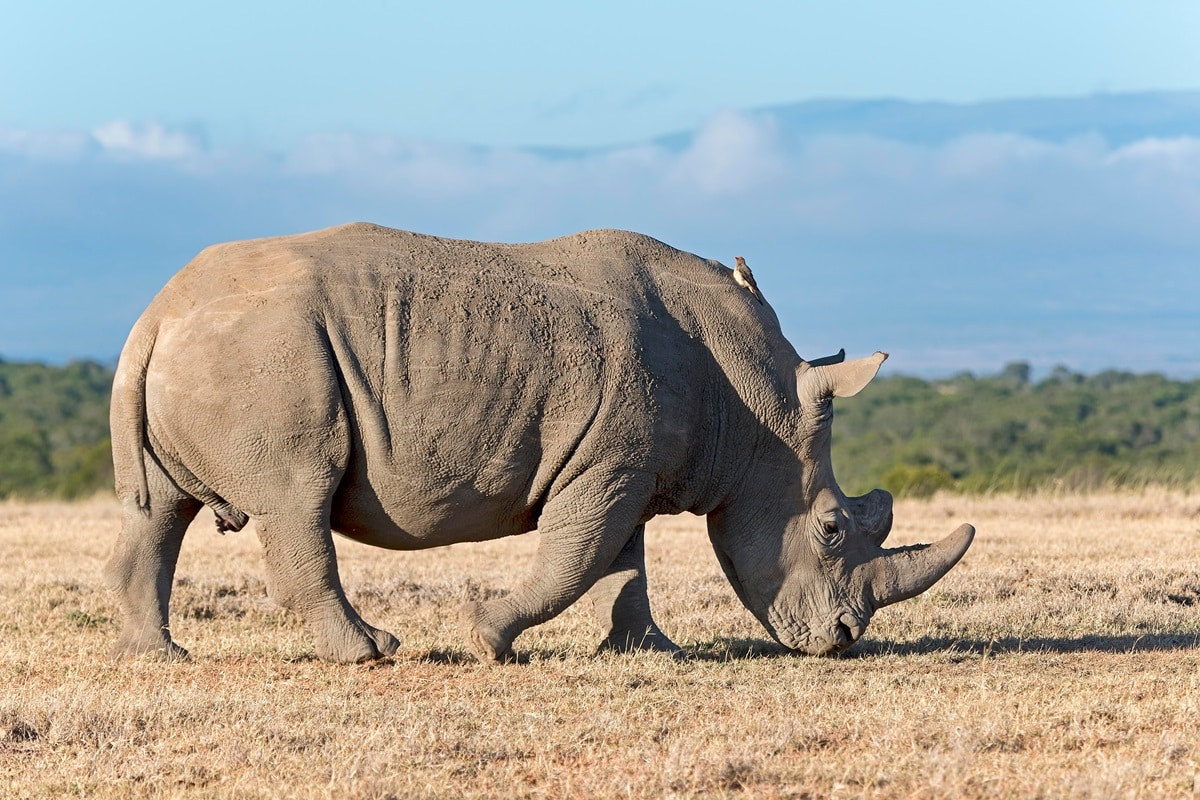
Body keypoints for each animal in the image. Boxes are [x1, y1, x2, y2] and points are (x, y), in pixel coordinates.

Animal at [105, 224, 974, 662]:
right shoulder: (608, 465)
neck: (754, 406)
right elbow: (574, 562)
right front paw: (490, 640)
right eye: (831, 528)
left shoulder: (623, 466)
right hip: (264, 355)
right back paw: (372, 652)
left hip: (213, 351)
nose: (843, 641)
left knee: (161, 511)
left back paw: (159, 659)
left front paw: (649, 652)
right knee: (296, 500)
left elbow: (622, 564)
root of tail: (157, 314)